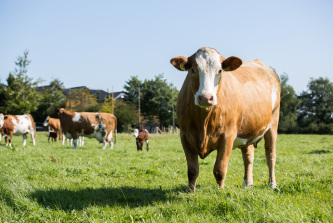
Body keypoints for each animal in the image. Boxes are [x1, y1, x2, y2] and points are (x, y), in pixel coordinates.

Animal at [170, 47, 278, 192]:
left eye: (220, 71)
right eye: (193, 69)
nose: (206, 97)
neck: (203, 122)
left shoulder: (228, 135)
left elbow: (219, 169)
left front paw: (220, 191)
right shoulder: (185, 135)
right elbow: (192, 170)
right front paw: (190, 191)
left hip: (272, 125)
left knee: (270, 155)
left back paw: (272, 184)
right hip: (248, 129)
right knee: (248, 157)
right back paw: (247, 183)